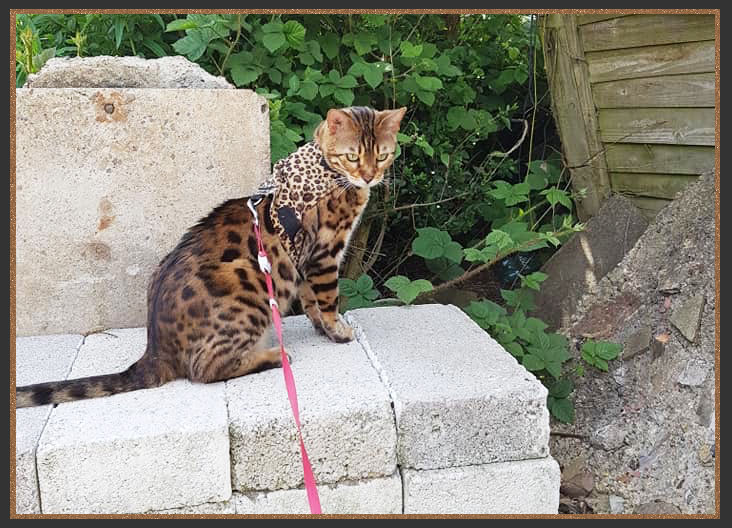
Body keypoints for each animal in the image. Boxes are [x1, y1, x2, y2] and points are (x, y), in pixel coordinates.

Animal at [17, 105, 408, 406]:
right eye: (352, 156)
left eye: (383, 155)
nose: (370, 177)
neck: (329, 171)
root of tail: (156, 348)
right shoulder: (325, 251)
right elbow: (327, 298)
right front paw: (337, 329)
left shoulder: (303, 259)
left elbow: (310, 299)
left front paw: (322, 328)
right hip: (247, 283)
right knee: (204, 370)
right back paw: (273, 355)